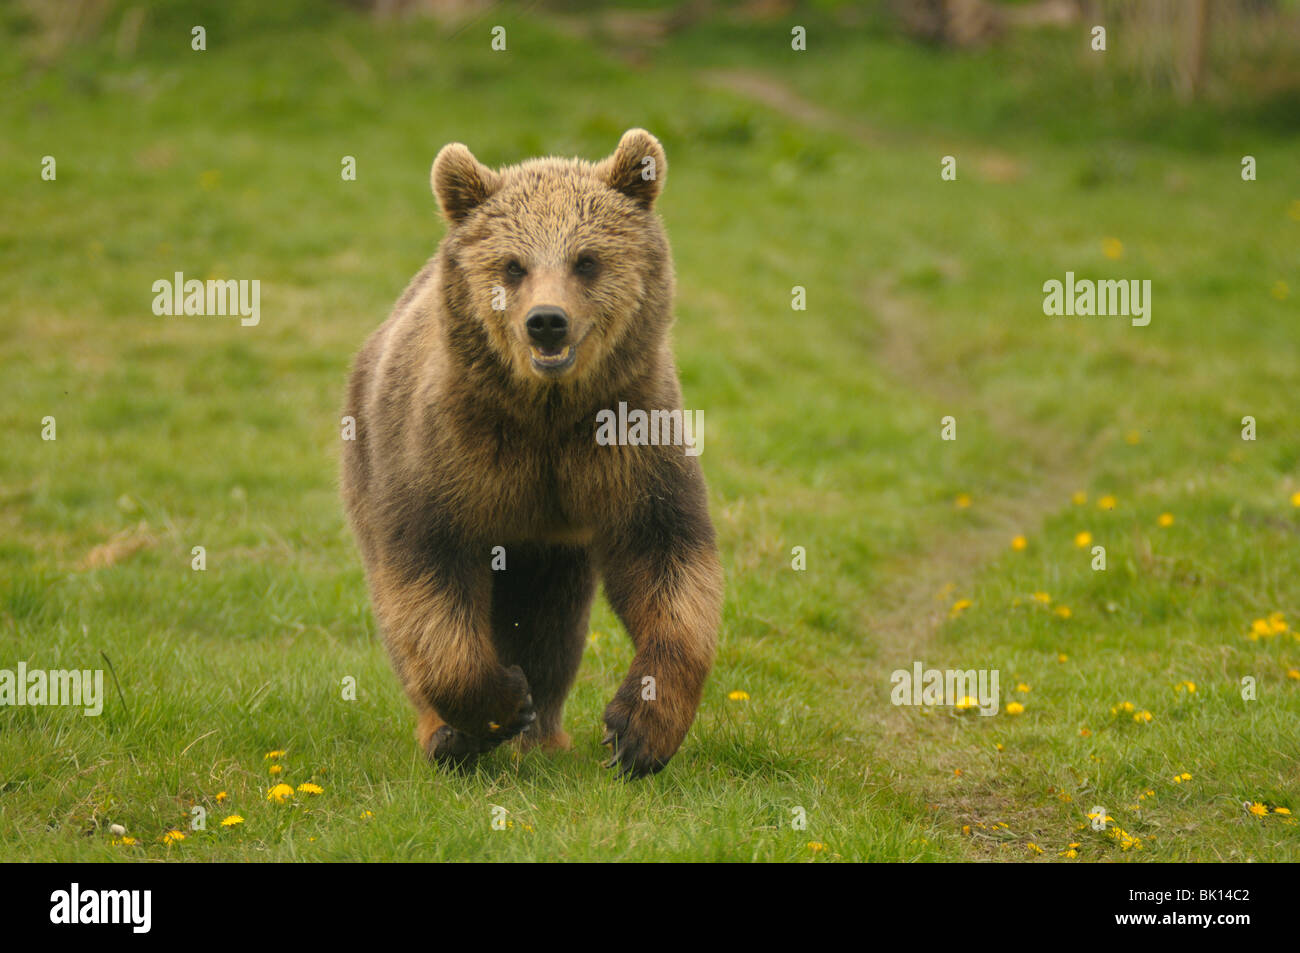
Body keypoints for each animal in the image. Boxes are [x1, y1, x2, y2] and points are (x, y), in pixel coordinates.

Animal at [338, 128, 722, 780]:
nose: (548, 322)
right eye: (513, 265)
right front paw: (500, 703)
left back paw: (545, 736)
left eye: (586, 259)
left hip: (551, 544)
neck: (546, 412)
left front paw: (637, 732)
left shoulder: (624, 441)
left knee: (551, 621)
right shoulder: (449, 451)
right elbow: (427, 573)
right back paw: (451, 734)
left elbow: (667, 557)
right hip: (368, 458)